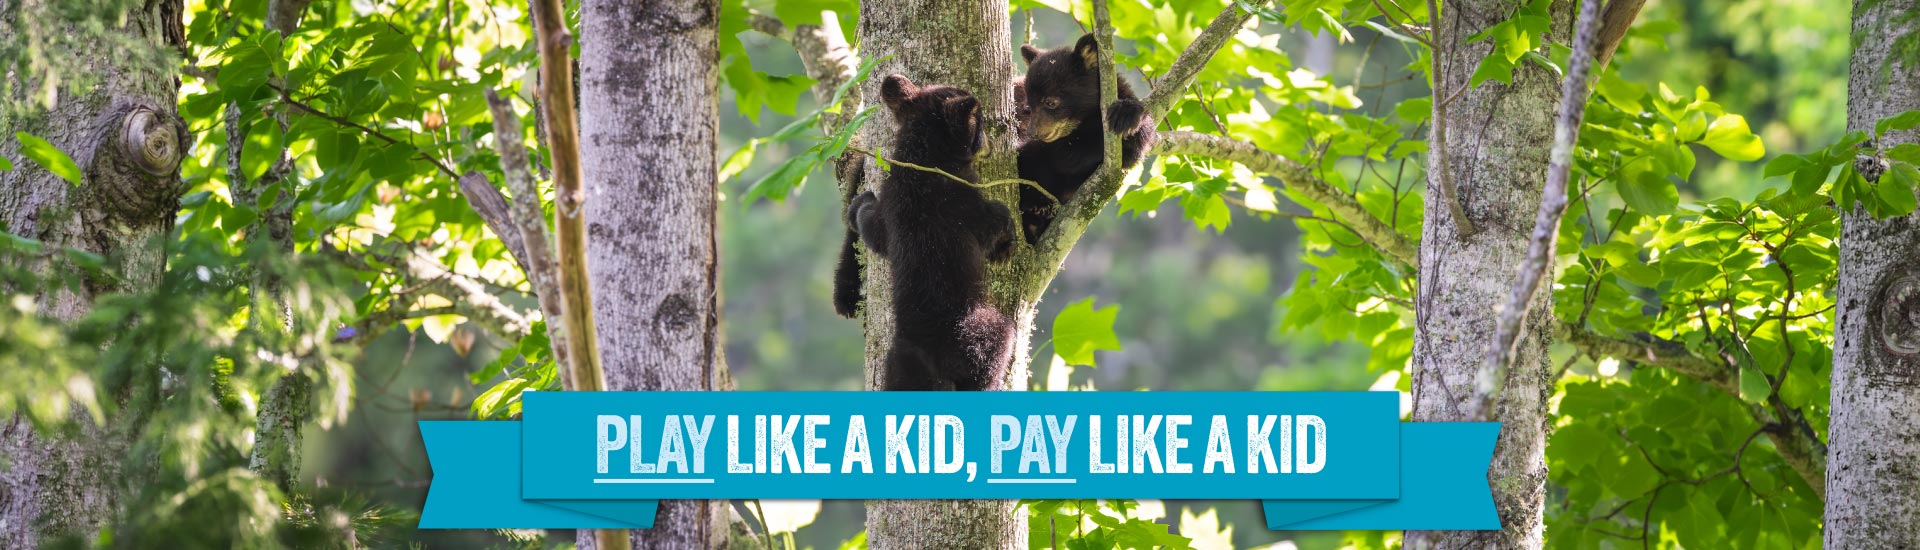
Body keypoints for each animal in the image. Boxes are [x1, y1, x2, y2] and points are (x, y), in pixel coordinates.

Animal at [843, 74, 1016, 391]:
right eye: (980, 123)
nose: (988, 142)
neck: (922, 159)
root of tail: (922, 350)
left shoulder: (892, 203)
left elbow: (875, 230)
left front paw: (860, 204)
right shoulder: (960, 200)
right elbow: (992, 220)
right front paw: (1005, 239)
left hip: (896, 364)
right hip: (976, 331)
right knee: (995, 345)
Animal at [1016, 33, 1157, 243]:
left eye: (1051, 102)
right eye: (1029, 106)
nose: (1033, 133)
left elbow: (1140, 141)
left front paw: (1125, 114)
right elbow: (1067, 154)